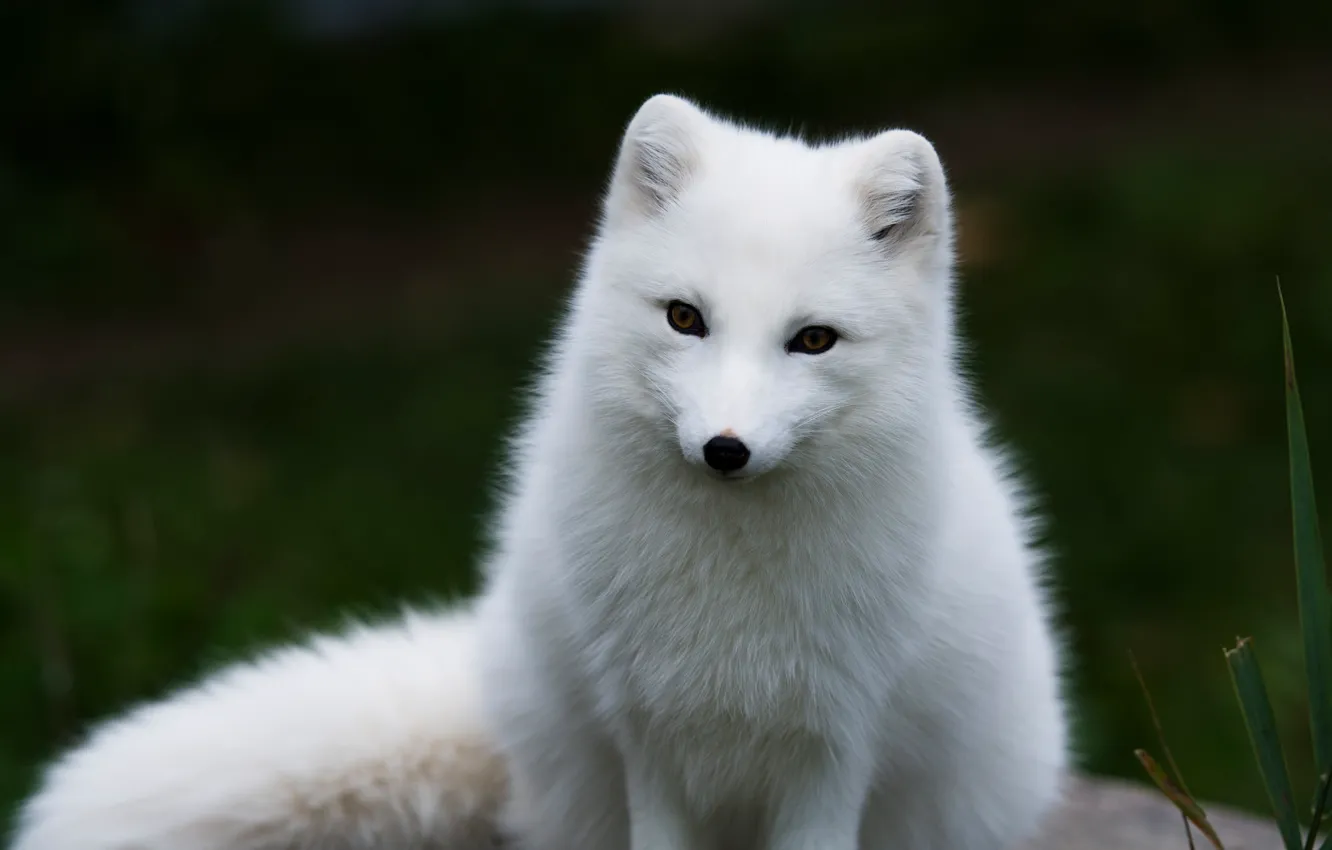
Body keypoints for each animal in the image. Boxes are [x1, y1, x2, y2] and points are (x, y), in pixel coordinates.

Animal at [10, 93, 1069, 850]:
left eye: (814, 340)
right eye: (685, 317)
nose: (725, 449)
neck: (729, 591)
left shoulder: (834, 750)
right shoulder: (648, 740)